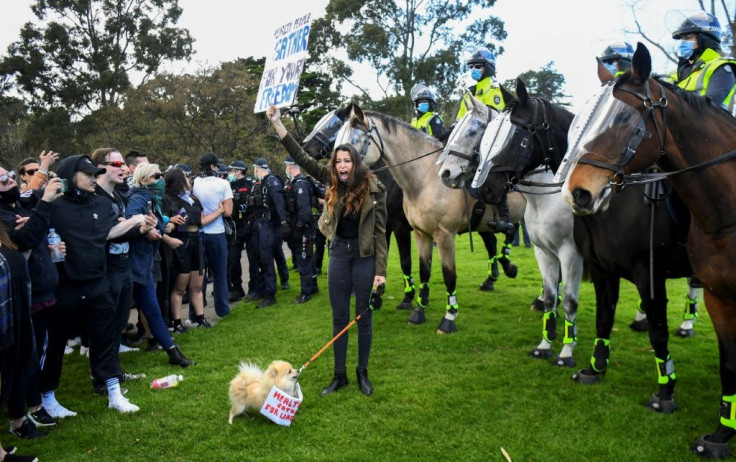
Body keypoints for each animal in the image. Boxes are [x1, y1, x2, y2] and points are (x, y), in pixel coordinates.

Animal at [320, 104, 528, 332]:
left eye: (352, 142)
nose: (332, 174)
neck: (426, 180)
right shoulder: (418, 233)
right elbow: (422, 270)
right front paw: (418, 309)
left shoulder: (439, 234)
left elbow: (446, 274)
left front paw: (447, 317)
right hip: (483, 223)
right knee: (494, 242)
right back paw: (495, 276)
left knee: (511, 232)